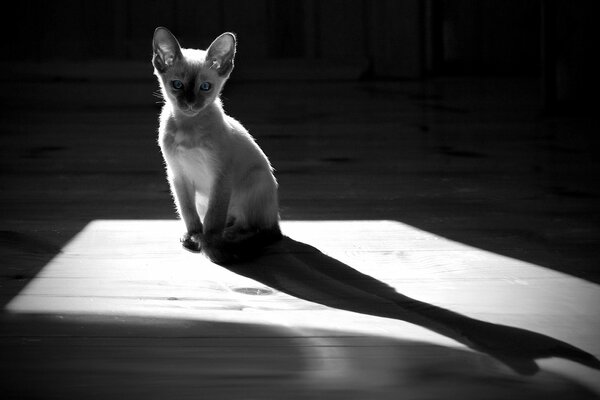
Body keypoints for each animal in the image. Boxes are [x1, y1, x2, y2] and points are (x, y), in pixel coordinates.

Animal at [150, 28, 282, 266]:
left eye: (205, 87)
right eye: (177, 85)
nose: (190, 104)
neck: (189, 125)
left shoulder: (220, 176)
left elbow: (213, 219)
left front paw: (208, 244)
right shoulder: (177, 175)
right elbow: (187, 211)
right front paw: (193, 235)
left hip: (255, 179)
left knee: (259, 228)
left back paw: (229, 237)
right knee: (232, 219)